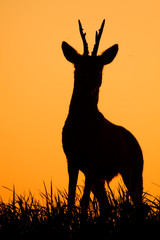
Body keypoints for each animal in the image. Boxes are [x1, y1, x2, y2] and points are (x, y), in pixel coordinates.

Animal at [61, 20, 144, 216]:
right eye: (78, 67)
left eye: (99, 68)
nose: (88, 85)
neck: (81, 128)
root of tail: (135, 141)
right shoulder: (71, 159)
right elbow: (71, 200)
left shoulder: (94, 158)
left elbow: (83, 201)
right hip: (103, 176)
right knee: (107, 206)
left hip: (134, 169)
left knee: (140, 205)